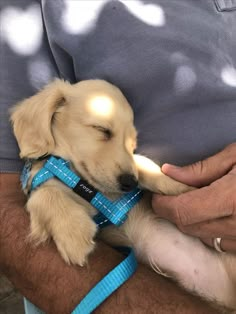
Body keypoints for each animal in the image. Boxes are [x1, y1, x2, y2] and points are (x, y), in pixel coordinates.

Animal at [10, 79, 236, 310]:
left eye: (132, 143)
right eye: (102, 130)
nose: (130, 183)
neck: (83, 183)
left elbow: (143, 164)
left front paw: (181, 186)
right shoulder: (38, 187)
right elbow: (44, 195)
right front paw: (74, 233)